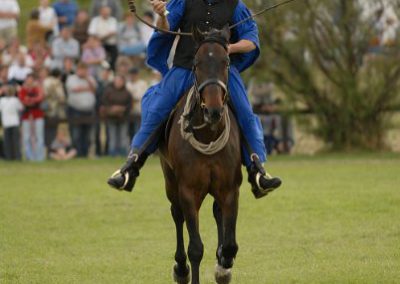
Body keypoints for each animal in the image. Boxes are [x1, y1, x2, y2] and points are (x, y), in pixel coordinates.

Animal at [159, 25, 241, 282]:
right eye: (196, 64)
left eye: (227, 61)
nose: (213, 110)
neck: (208, 135)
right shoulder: (188, 191)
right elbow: (195, 248)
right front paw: (187, 269)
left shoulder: (229, 189)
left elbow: (230, 245)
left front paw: (223, 266)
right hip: (170, 180)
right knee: (177, 214)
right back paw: (180, 269)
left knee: (217, 214)